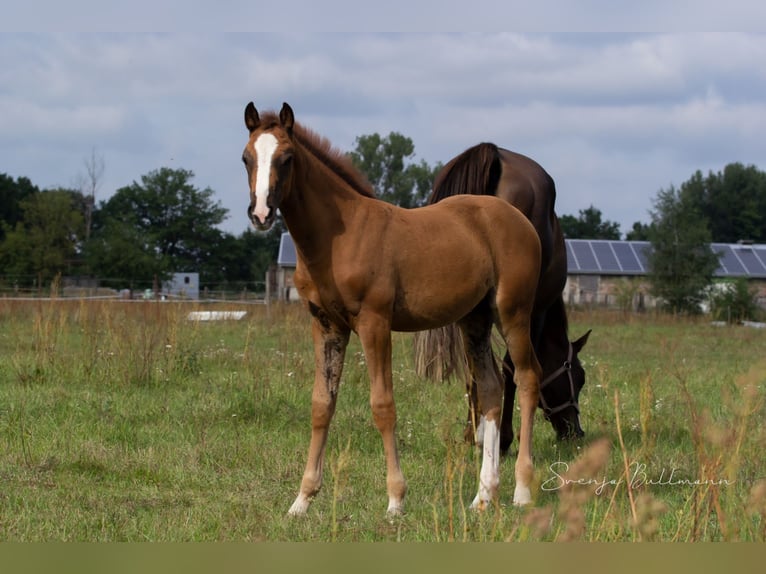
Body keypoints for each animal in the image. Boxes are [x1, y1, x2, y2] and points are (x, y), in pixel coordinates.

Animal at [243, 103, 544, 516]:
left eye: (286, 158)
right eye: (246, 158)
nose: (260, 213)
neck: (339, 235)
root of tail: (520, 220)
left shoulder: (374, 323)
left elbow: (383, 405)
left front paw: (395, 500)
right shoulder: (326, 324)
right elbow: (322, 404)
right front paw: (301, 501)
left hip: (512, 312)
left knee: (528, 379)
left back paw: (522, 490)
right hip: (475, 319)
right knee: (491, 388)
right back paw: (483, 495)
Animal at [416, 142, 592, 448]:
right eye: (579, 378)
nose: (574, 432)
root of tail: (497, 154)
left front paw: (474, 432)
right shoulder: (535, 313)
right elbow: (514, 369)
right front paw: (503, 436)